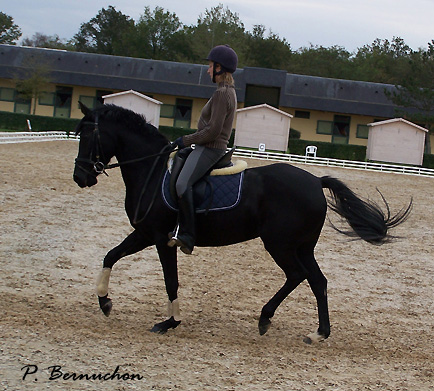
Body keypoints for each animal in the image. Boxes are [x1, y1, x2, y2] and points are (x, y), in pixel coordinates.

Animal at [73, 102, 412, 344]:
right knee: (318, 281)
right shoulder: (144, 233)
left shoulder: (159, 237)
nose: (80, 177)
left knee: (297, 276)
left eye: (88, 136)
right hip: (302, 247)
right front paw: (104, 302)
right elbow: (110, 256)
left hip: (280, 244)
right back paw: (319, 333)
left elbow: (171, 281)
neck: (152, 172)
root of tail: (316, 181)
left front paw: (169, 322)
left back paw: (265, 318)